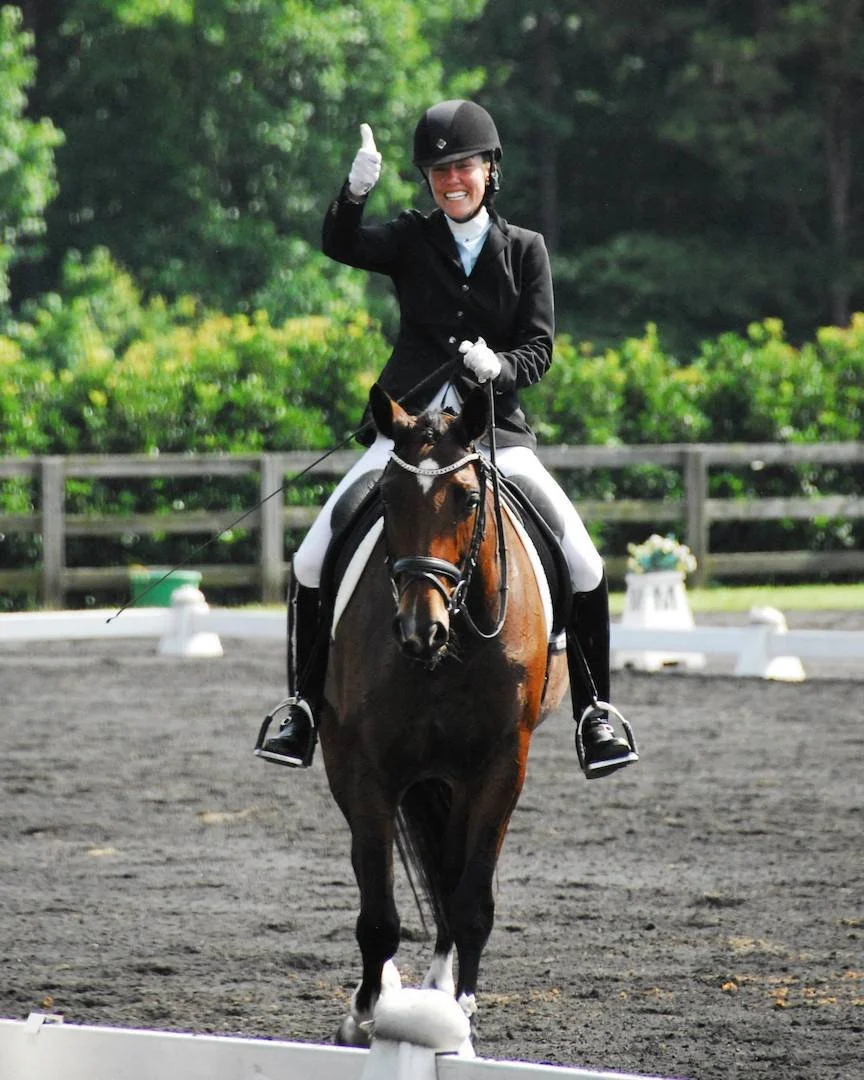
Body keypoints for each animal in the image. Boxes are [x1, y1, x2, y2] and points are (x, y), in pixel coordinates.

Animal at [318, 382, 569, 1047]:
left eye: (468, 499)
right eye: (387, 497)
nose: (418, 630)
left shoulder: (501, 764)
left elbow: (469, 900)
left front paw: (457, 1014)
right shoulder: (367, 768)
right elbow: (378, 913)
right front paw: (364, 1014)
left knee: (450, 872)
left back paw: (438, 989)